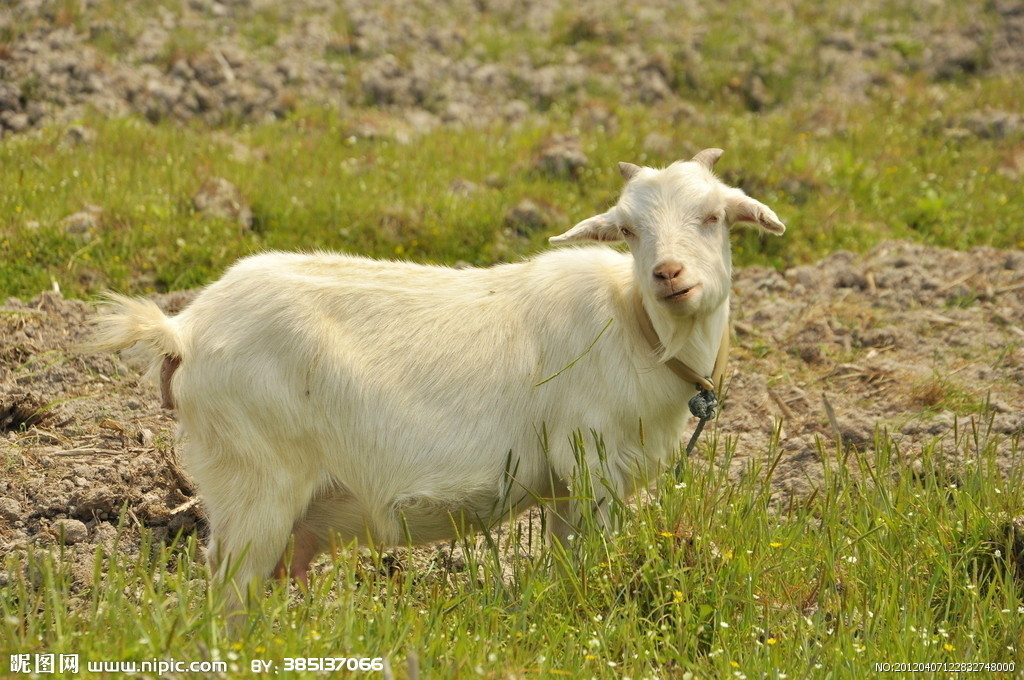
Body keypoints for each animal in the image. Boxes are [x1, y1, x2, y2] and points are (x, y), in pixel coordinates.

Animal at [88, 148, 782, 610]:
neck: (641, 329)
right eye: (630, 229)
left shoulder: (567, 486)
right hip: (254, 480)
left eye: (714, 216)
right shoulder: (595, 466)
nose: (669, 275)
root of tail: (183, 328)